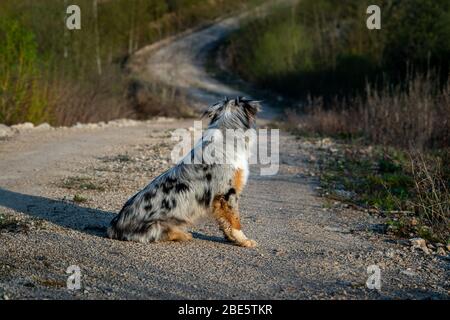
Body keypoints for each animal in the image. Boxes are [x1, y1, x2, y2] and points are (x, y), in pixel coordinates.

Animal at [108, 97, 260, 248]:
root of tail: (114, 227)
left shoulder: (219, 199)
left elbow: (224, 221)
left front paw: (231, 238)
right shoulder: (227, 192)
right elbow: (235, 221)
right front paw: (244, 241)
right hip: (157, 225)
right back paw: (183, 234)